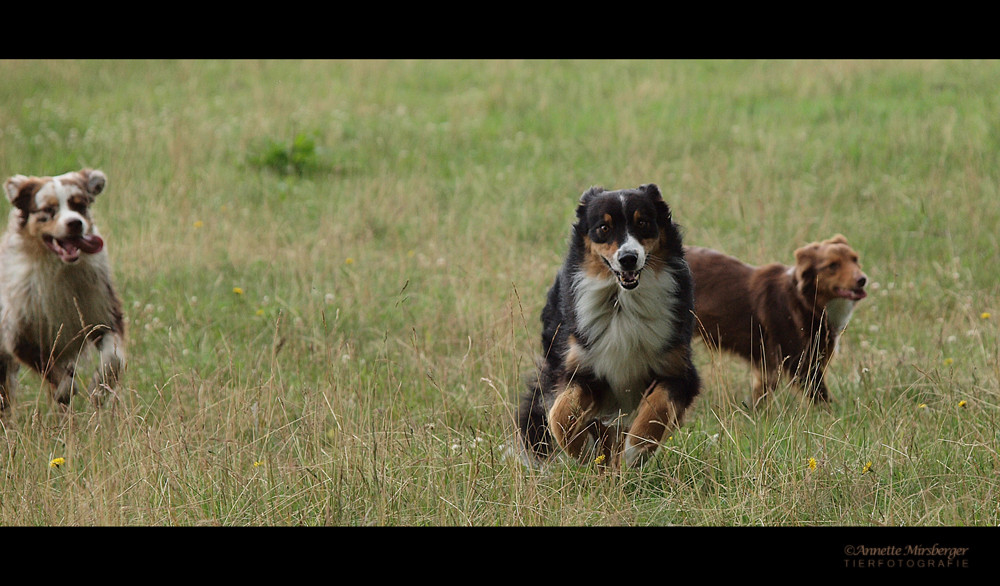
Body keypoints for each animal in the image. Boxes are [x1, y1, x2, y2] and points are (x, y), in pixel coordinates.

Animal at [688, 233, 868, 406]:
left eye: (855, 259)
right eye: (832, 265)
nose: (862, 279)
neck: (805, 300)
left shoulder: (770, 367)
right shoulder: (799, 363)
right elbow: (823, 397)